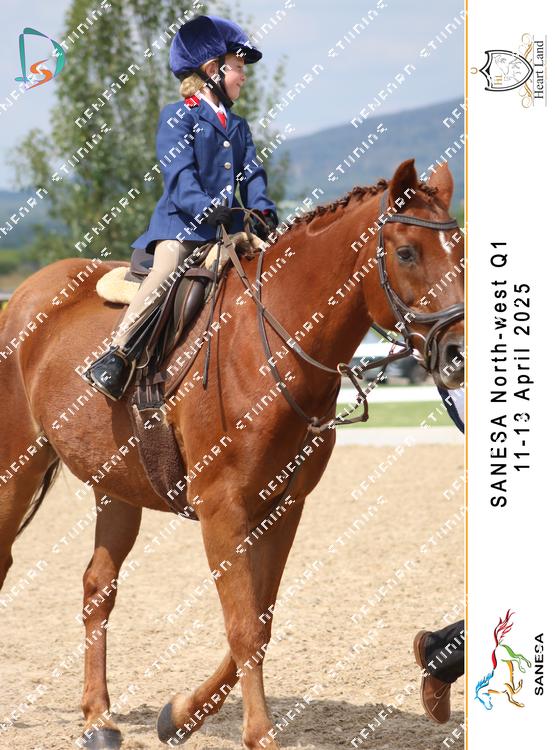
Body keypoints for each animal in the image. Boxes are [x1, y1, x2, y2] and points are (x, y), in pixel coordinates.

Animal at [0, 159, 464, 749]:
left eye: (461, 247)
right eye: (406, 252)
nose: (457, 352)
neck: (269, 347)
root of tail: (24, 295)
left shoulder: (283, 506)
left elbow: (260, 620)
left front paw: (181, 713)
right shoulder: (222, 508)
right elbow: (242, 624)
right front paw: (260, 735)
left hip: (116, 486)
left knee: (97, 588)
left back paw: (98, 719)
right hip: (15, 467)